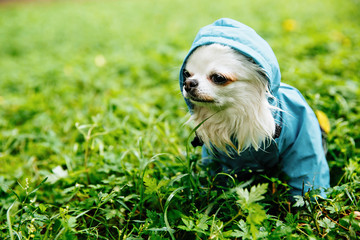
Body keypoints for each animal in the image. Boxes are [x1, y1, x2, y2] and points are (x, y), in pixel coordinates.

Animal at [180, 17, 330, 196]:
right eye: (186, 74)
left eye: (218, 78)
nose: (188, 83)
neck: (233, 115)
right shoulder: (216, 155)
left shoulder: (302, 142)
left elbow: (306, 170)